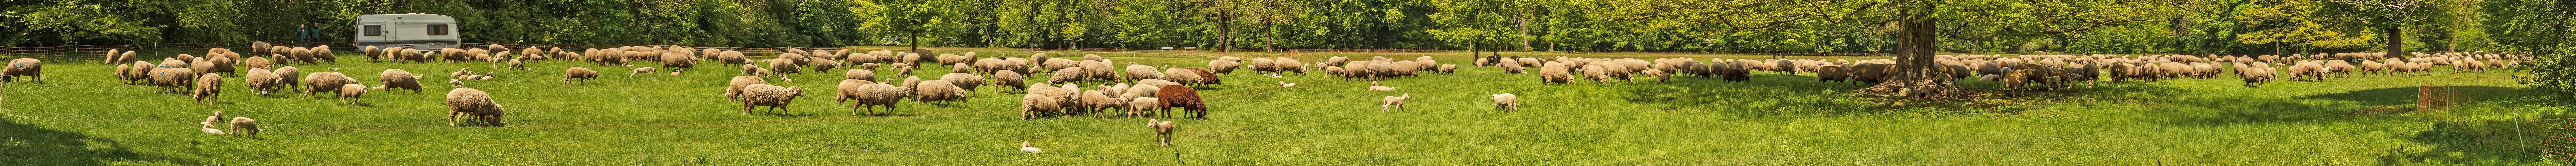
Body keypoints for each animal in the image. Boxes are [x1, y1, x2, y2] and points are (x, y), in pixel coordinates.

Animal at [445, 88, 505, 125]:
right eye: (500, 115)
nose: (498, 122)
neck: (490, 106)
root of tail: (449, 95)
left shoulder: (482, 112)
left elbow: (482, 119)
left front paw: (482, 125)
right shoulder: (478, 111)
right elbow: (476, 118)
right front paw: (474, 125)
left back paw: (451, 124)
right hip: (454, 108)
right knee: (451, 117)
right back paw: (453, 125)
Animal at [737, 84, 804, 116]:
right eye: (800, 90)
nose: (803, 95)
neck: (786, 93)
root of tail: (745, 90)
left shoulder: (774, 104)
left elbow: (771, 109)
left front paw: (768, 114)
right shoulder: (782, 103)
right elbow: (785, 110)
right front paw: (788, 116)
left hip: (747, 100)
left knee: (744, 106)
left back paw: (745, 113)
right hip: (751, 100)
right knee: (749, 108)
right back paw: (751, 115)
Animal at [1164, 85, 1210, 119]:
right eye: (1203, 114)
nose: (1198, 118)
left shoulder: (1191, 106)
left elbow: (1191, 112)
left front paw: (1192, 117)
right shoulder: (1187, 106)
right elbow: (1186, 112)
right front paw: (1185, 118)